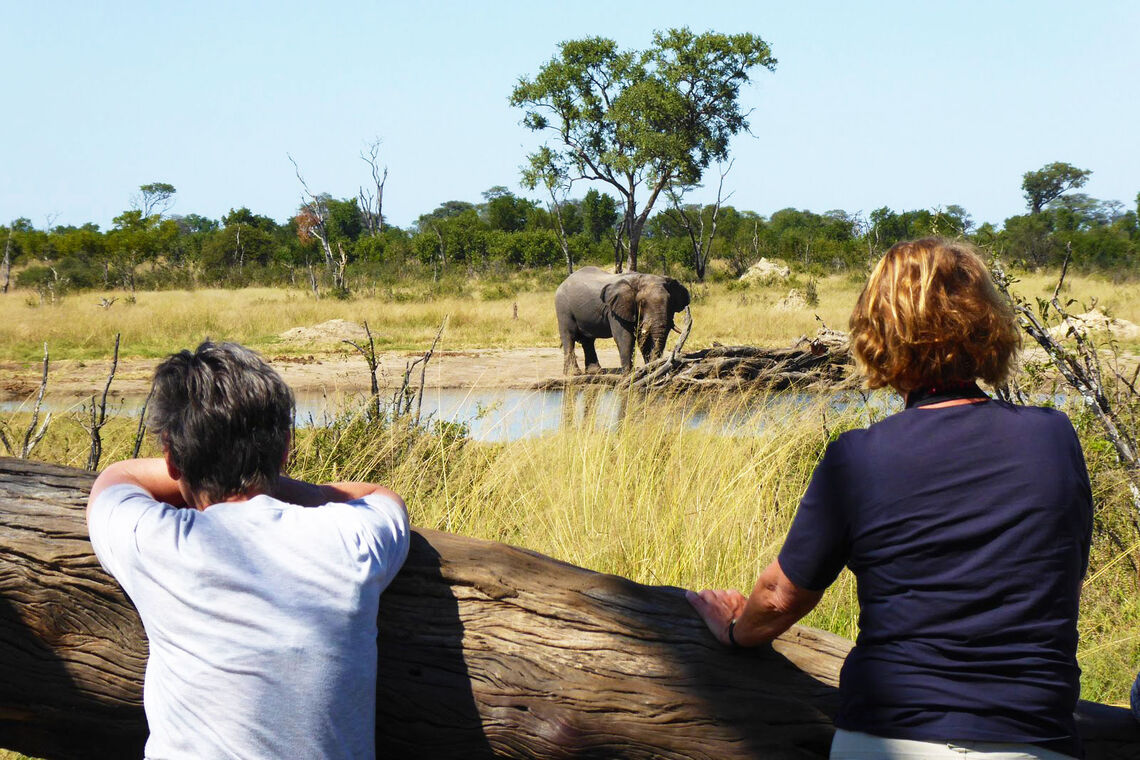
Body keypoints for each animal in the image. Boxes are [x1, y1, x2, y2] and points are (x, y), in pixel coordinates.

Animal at [555, 266, 691, 375]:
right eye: (642, 303)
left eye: (670, 303)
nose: (655, 366)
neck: (640, 278)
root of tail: (564, 281)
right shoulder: (615, 310)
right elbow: (625, 337)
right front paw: (628, 374)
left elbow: (644, 338)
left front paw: (648, 370)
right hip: (563, 307)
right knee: (569, 337)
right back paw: (573, 374)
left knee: (588, 341)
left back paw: (596, 372)